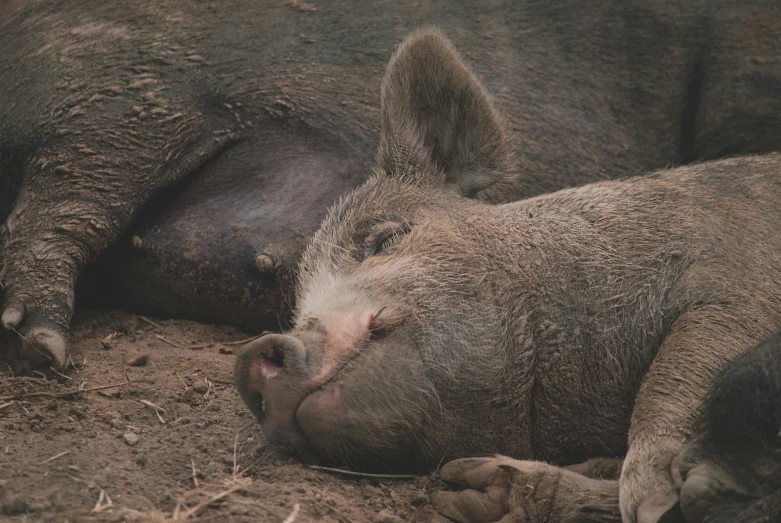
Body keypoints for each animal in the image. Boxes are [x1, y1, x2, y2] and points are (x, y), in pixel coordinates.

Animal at [236, 30, 780, 520]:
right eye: (298, 307)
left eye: (384, 239)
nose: (250, 355)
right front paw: (463, 488)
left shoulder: (737, 276)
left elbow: (679, 363)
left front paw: (650, 501)